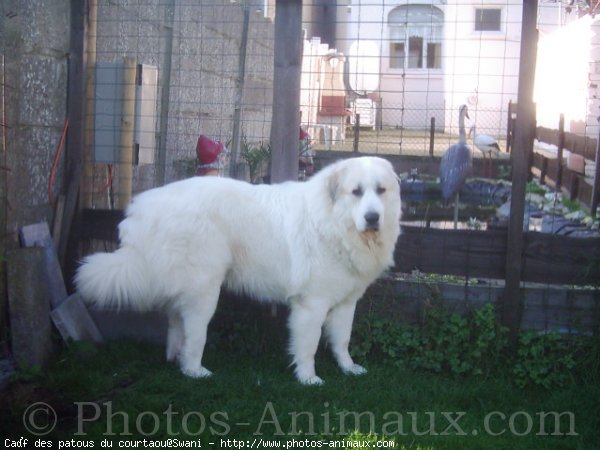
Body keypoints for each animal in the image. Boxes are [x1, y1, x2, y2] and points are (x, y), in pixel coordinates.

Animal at [76, 156, 404, 384]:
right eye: (356, 192)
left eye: (380, 191)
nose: (372, 217)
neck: (335, 222)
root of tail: (144, 206)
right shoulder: (312, 305)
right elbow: (308, 345)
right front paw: (308, 379)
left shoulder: (346, 302)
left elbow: (342, 340)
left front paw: (349, 368)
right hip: (204, 290)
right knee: (194, 334)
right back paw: (195, 371)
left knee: (175, 321)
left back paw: (174, 358)